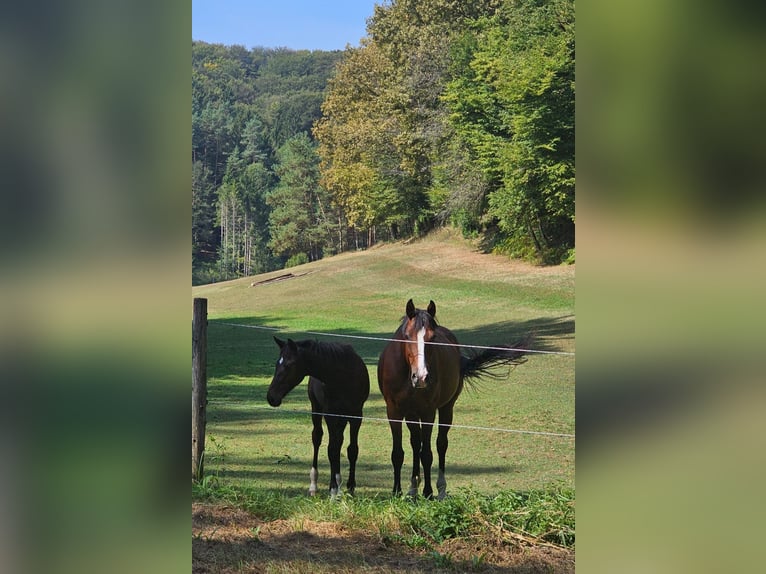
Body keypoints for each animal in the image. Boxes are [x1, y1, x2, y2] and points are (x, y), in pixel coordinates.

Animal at [266, 340, 370, 498]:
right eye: (277, 364)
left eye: (289, 365)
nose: (271, 397)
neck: (343, 376)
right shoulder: (330, 415)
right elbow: (331, 450)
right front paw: (333, 490)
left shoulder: (356, 415)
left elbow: (352, 450)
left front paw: (350, 488)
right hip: (316, 408)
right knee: (317, 438)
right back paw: (314, 485)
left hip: (342, 418)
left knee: (339, 442)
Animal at [376, 300, 532, 502]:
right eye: (407, 336)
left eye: (432, 337)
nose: (421, 377)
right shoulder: (394, 412)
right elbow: (398, 453)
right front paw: (397, 492)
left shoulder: (428, 412)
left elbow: (427, 454)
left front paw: (428, 492)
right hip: (411, 414)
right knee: (415, 443)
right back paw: (413, 489)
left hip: (446, 409)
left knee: (440, 444)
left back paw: (440, 489)